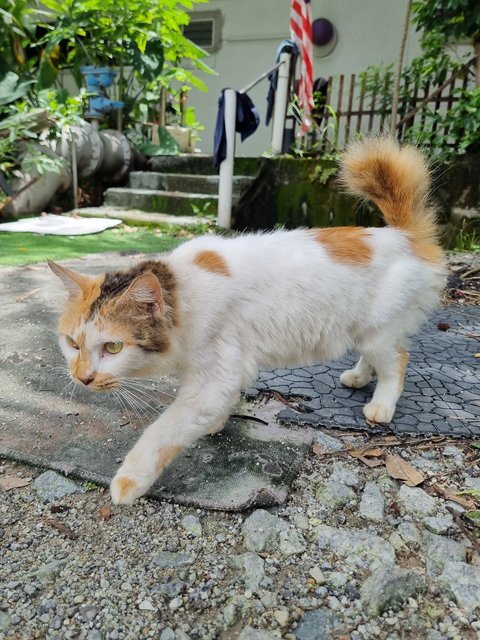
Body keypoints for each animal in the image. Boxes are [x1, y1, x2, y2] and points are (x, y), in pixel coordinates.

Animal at [49, 139, 446, 504]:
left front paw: (128, 481)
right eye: (72, 344)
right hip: (363, 330)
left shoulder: (213, 377)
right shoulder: (223, 371)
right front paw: (217, 422)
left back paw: (381, 406)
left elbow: (162, 431)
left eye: (113, 347)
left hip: (379, 331)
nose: (82, 378)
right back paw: (358, 377)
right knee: (374, 357)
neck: (183, 293)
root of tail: (404, 235)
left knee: (397, 362)